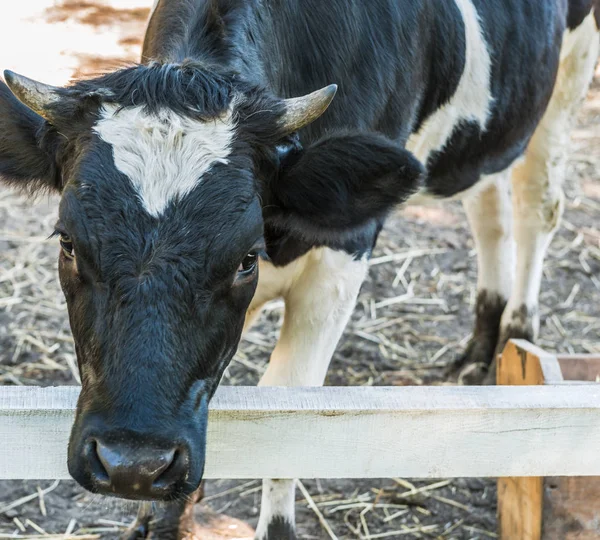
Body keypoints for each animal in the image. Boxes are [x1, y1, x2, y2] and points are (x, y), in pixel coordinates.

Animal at [0, 0, 596, 536]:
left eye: (244, 258)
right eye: (68, 242)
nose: (132, 464)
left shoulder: (342, 258)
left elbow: (290, 405)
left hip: (569, 78)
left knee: (537, 205)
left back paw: (517, 335)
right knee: (489, 210)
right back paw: (478, 348)